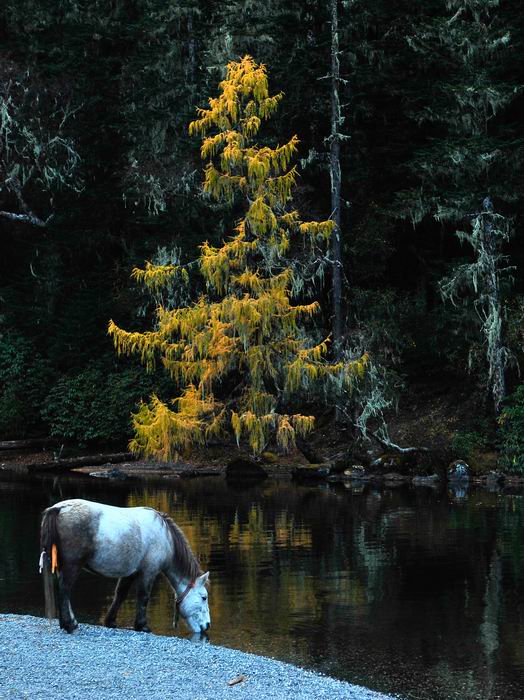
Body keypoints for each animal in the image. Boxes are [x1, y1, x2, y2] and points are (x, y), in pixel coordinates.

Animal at [40, 498, 210, 636]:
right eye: (204, 597)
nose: (207, 625)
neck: (166, 538)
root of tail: (58, 508)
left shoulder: (130, 573)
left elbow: (120, 595)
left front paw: (110, 621)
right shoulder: (148, 572)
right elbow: (143, 597)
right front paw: (142, 626)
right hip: (72, 565)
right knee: (64, 590)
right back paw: (69, 625)